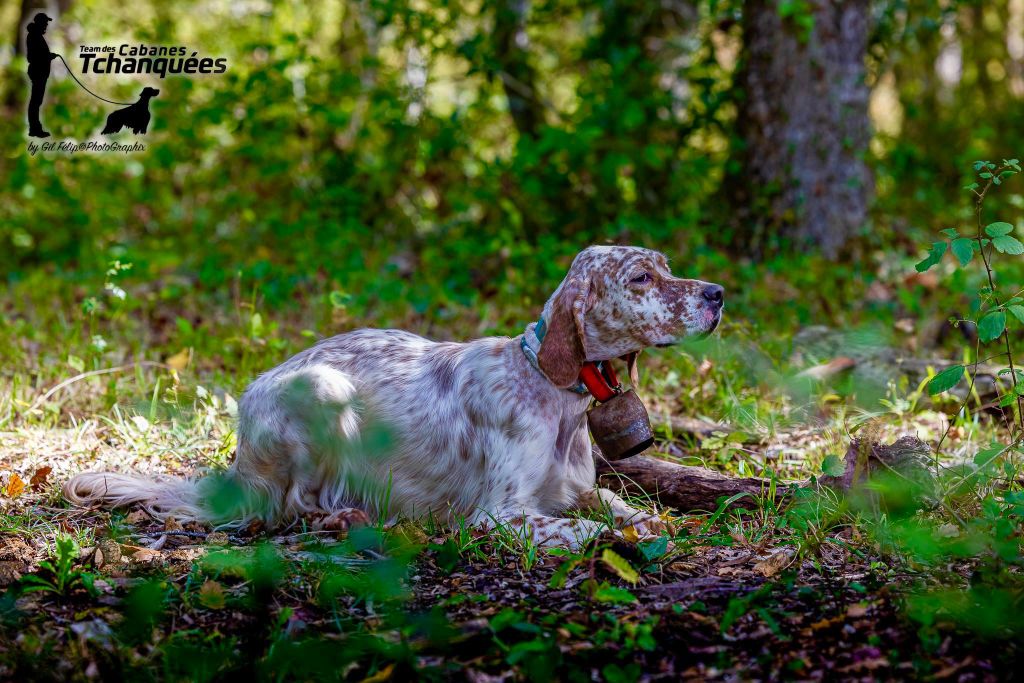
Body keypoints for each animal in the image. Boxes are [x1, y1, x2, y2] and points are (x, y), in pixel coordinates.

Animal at [64, 245, 724, 548]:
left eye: (665, 265)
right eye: (641, 277)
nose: (717, 293)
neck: (549, 388)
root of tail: (238, 464)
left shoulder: (578, 489)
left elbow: (625, 508)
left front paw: (654, 522)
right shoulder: (499, 514)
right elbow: (587, 529)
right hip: (322, 393)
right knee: (287, 508)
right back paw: (346, 518)